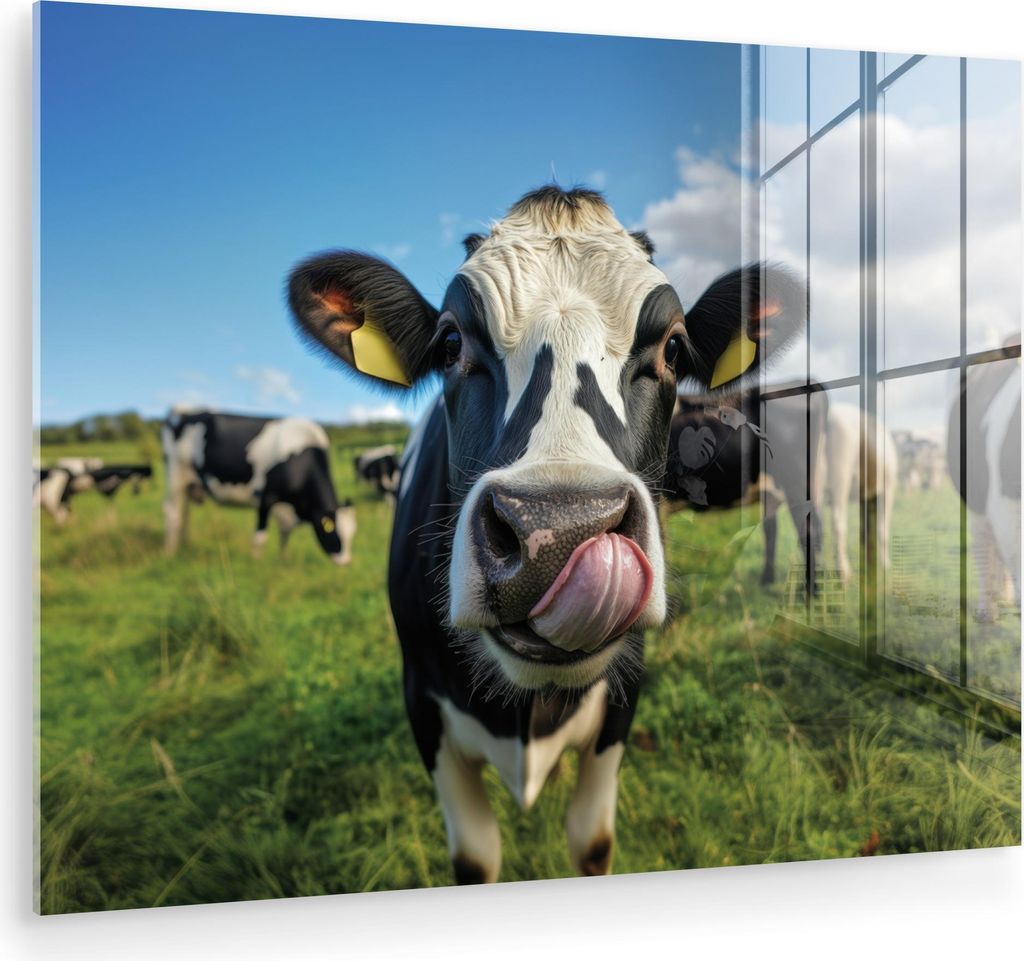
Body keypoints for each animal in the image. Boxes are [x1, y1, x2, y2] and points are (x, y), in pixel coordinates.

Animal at [161, 408, 356, 564]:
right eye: (333, 531)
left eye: (352, 534)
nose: (346, 562)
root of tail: (183, 415)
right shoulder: (266, 497)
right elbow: (260, 537)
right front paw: (256, 563)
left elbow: (284, 536)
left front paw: (283, 560)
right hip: (175, 477)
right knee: (173, 514)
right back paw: (170, 552)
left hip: (188, 485)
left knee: (184, 513)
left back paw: (184, 546)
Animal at [287, 186, 804, 883]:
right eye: (450, 342)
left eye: (673, 348)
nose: (556, 532)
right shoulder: (422, 704)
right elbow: (475, 857)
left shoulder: (623, 699)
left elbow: (592, 841)